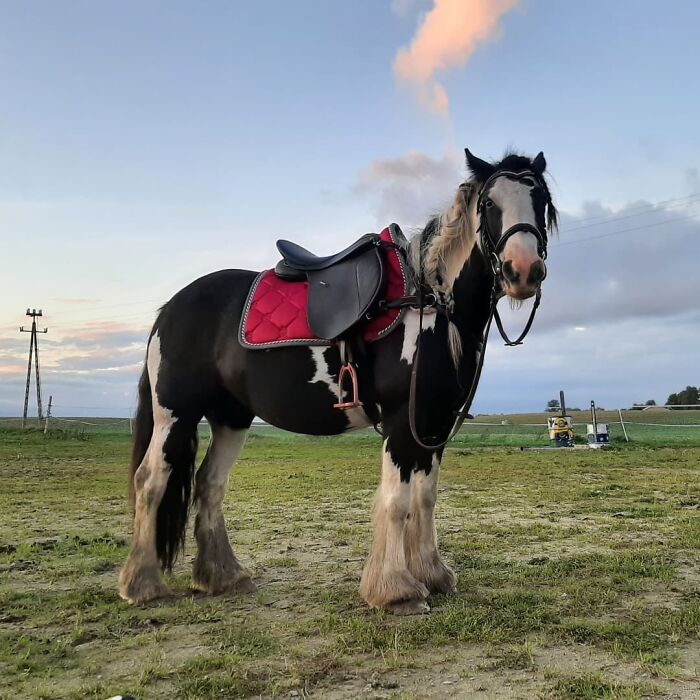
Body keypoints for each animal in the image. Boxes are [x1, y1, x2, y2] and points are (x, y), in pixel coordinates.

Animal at [119, 148, 557, 614]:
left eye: (542, 201)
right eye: (489, 203)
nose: (523, 271)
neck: (428, 304)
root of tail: (170, 308)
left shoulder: (432, 423)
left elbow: (425, 497)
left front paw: (433, 575)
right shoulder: (402, 422)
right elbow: (397, 499)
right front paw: (395, 590)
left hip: (231, 419)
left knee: (209, 484)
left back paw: (223, 576)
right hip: (175, 415)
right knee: (150, 482)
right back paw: (142, 584)